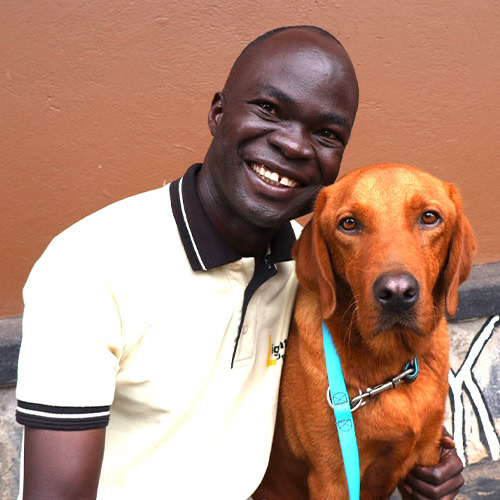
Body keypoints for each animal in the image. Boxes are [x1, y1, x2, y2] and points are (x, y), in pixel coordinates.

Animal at [254, 165, 476, 500]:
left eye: (429, 217)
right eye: (349, 224)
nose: (397, 293)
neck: (391, 366)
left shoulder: (427, 455)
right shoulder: (334, 477)